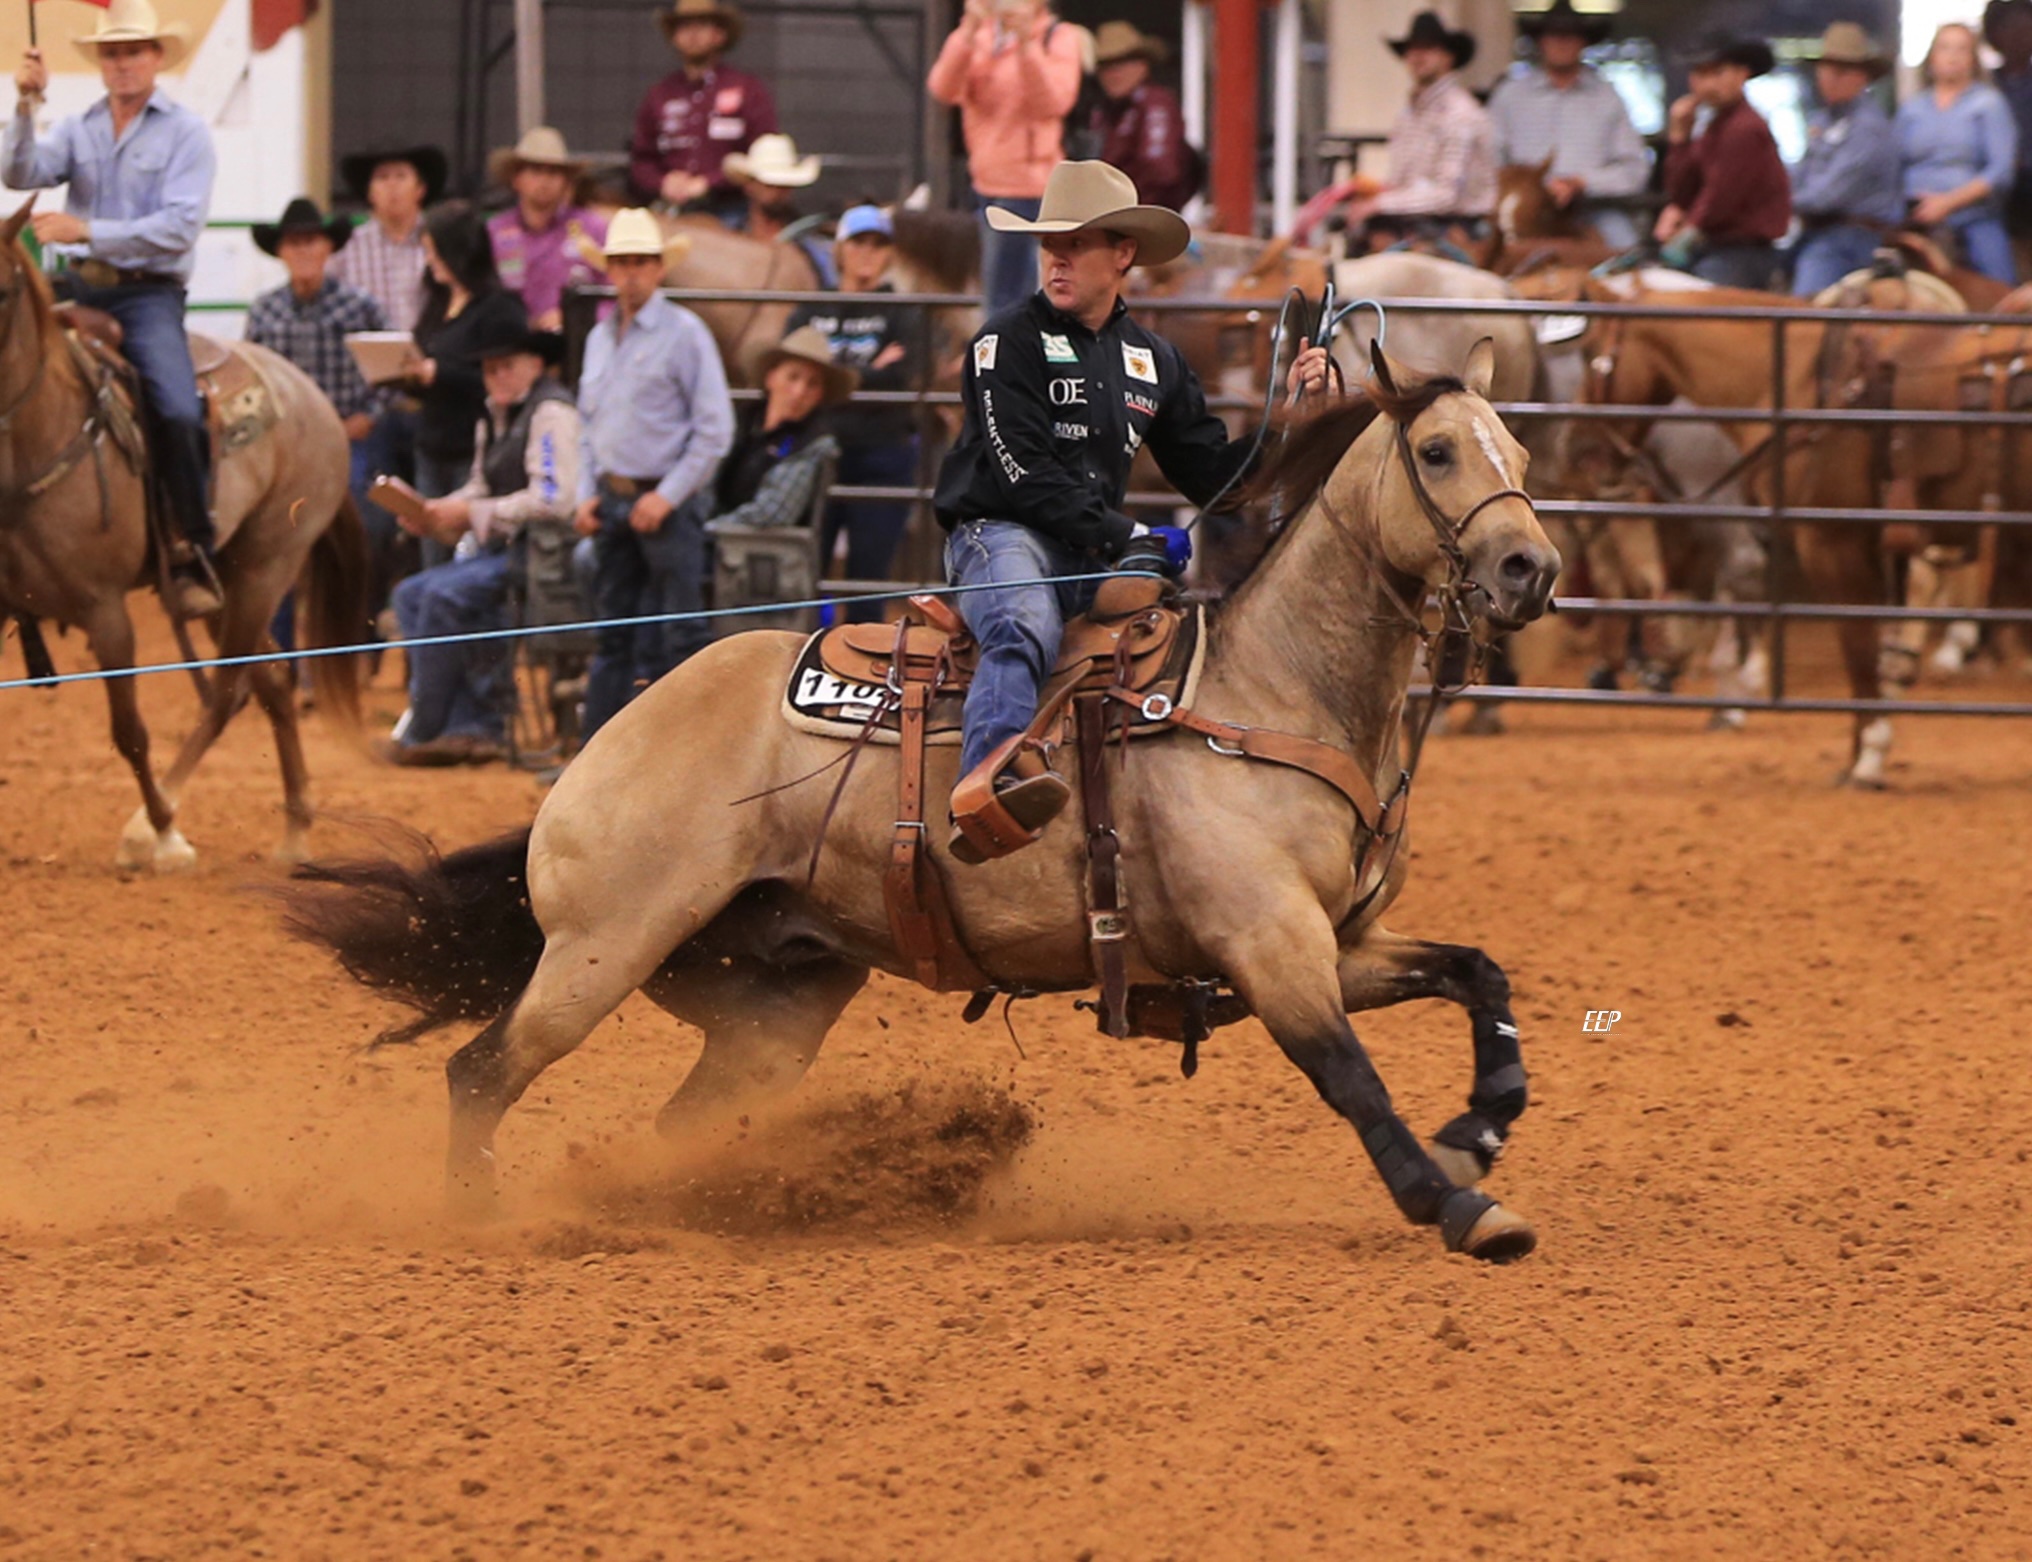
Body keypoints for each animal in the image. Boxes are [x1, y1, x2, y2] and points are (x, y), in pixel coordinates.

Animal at [0, 198, 365, 865]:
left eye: (5, 289)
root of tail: (312, 395)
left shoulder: (106, 612)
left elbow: (130, 732)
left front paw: (162, 830)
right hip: (228, 583)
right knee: (271, 681)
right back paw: (296, 829)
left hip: (267, 568)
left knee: (226, 691)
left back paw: (155, 826)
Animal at [282, 345, 1552, 1267]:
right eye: (1437, 448)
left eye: (1522, 447)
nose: (1528, 569)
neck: (1268, 691)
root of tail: (602, 749)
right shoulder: (1268, 942)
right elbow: (1349, 1075)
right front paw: (1455, 1204)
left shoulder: (1337, 938)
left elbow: (1477, 969)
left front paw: (1482, 1124)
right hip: (601, 949)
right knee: (484, 1069)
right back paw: (479, 1214)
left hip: (773, 999)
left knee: (675, 1120)